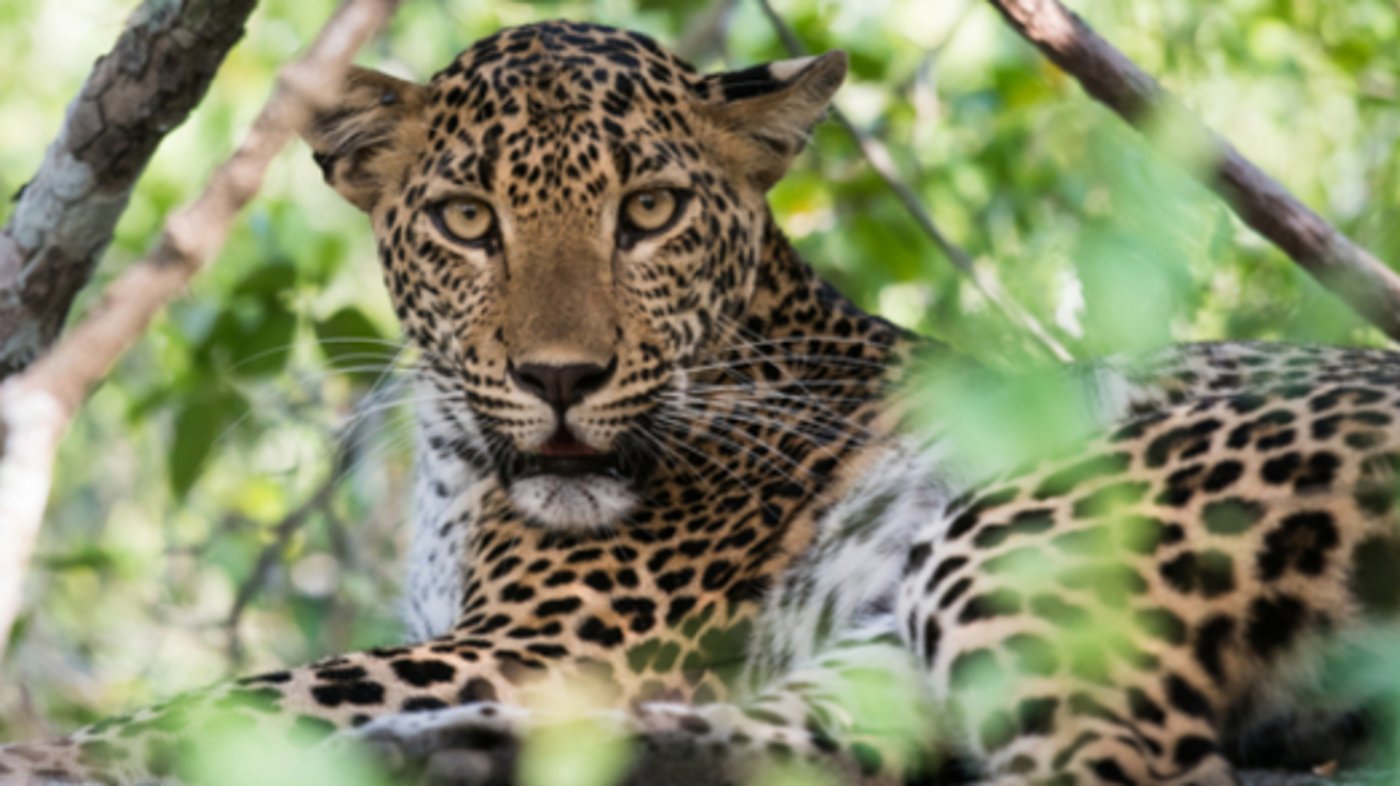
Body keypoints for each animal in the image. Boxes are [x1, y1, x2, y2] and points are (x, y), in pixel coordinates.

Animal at [3, 18, 1400, 786]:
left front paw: (78, 748)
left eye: (650, 211)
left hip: (1037, 520)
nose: (560, 379)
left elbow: (229, 699)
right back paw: (453, 758)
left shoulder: (545, 642)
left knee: (1122, 763)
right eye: (467, 221)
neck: (461, 469)